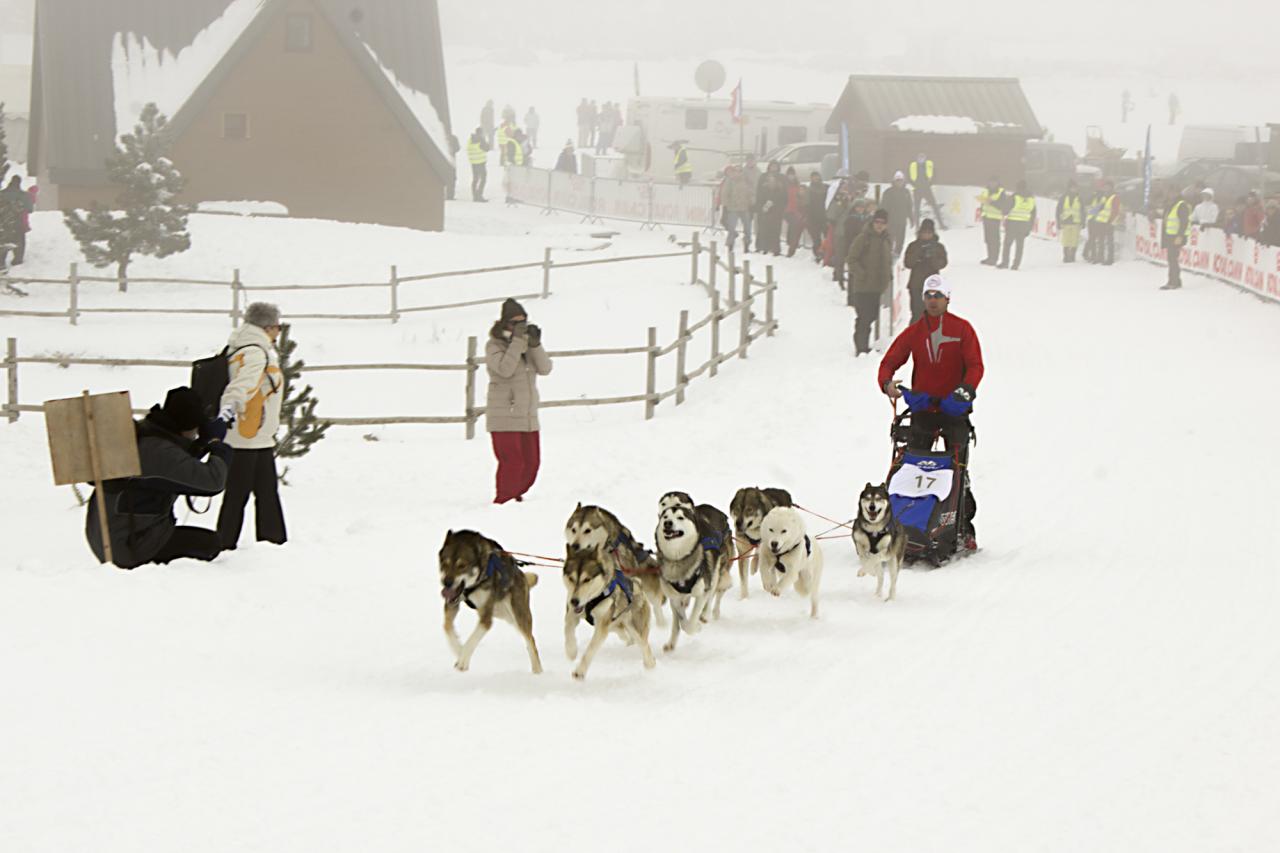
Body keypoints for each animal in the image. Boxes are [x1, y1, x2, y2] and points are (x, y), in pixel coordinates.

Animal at [440, 525, 540, 671]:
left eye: (462, 566)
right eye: (444, 563)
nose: (446, 583)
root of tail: (521, 575)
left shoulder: (486, 617)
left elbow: (473, 638)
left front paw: (463, 659)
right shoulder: (452, 604)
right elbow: (447, 627)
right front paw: (459, 651)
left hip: (517, 615)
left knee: (530, 640)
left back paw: (538, 671)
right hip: (504, 615)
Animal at [563, 545, 655, 676]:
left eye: (587, 579)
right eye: (571, 578)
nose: (574, 601)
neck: (592, 600)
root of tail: (638, 585)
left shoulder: (602, 625)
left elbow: (591, 649)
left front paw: (580, 671)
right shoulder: (571, 614)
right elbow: (568, 630)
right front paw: (571, 651)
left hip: (635, 627)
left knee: (644, 645)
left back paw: (650, 665)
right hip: (617, 624)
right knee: (624, 634)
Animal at [655, 502, 737, 648]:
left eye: (680, 517)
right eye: (665, 517)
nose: (668, 523)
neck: (678, 560)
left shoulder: (702, 591)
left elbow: (691, 621)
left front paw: (696, 626)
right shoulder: (674, 598)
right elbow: (681, 621)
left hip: (716, 571)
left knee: (712, 594)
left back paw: (705, 615)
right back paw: (671, 644)